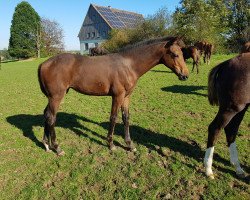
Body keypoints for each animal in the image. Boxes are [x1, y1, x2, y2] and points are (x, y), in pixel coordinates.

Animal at [38, 36, 188, 155]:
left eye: (182, 53)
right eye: (175, 54)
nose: (185, 75)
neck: (128, 65)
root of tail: (43, 64)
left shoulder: (126, 96)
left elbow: (126, 118)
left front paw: (130, 145)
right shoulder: (118, 96)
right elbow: (114, 117)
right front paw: (111, 144)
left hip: (51, 98)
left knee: (46, 114)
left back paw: (46, 144)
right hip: (56, 97)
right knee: (51, 118)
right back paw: (57, 147)